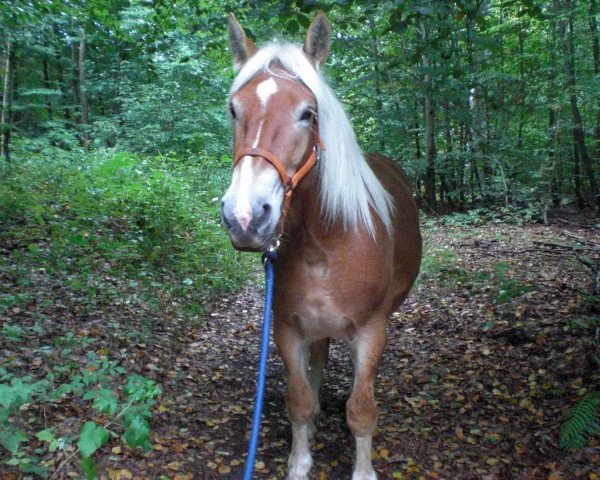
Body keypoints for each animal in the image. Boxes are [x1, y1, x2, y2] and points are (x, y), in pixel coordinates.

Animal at [220, 11, 422, 480]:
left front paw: (363, 470)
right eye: (234, 109)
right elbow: (299, 401)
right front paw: (300, 460)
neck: (325, 245)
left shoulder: (370, 331)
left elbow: (362, 410)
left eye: (307, 113)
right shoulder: (288, 329)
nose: (244, 217)